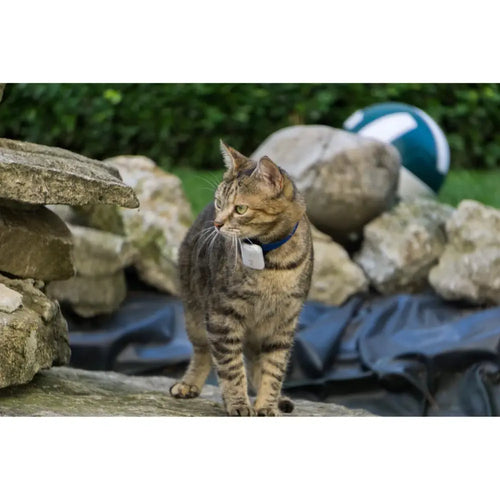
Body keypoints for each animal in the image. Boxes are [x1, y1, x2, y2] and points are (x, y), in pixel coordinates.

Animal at [170, 141, 313, 416]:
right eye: (218, 202)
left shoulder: (284, 322)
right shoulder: (222, 315)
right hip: (194, 313)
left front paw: (267, 405)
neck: (271, 261)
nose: (216, 223)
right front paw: (238, 403)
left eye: (240, 208)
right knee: (203, 352)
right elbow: (231, 367)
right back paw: (189, 384)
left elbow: (274, 369)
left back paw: (280, 399)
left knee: (256, 363)